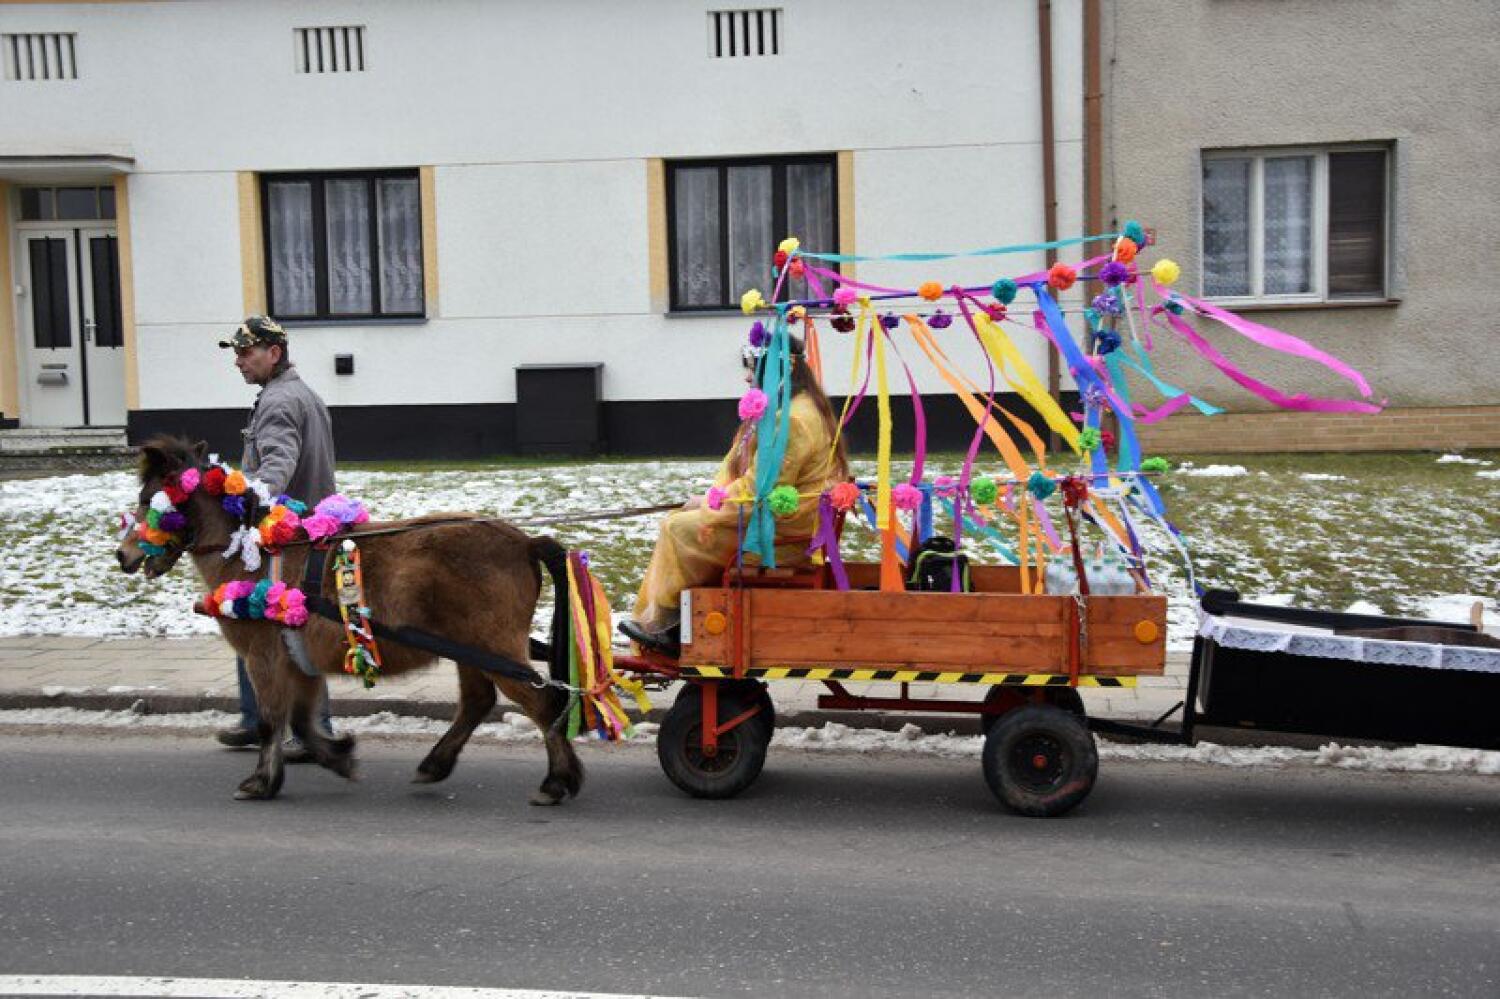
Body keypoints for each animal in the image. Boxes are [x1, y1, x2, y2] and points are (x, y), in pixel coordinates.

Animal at [114, 435, 583, 805]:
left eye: (147, 502)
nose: (123, 555)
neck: (256, 553)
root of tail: (523, 542)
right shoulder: (298, 661)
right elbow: (301, 721)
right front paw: (338, 757)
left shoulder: (263, 658)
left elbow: (270, 719)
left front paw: (261, 781)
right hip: (470, 651)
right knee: (477, 702)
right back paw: (436, 764)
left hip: (492, 648)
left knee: (543, 703)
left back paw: (556, 782)